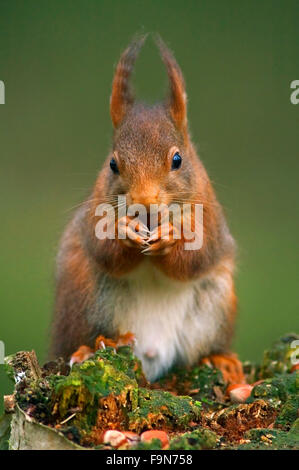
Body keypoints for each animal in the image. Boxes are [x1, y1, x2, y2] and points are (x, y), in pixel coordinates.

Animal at [50, 35, 245, 384]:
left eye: (178, 159)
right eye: (113, 164)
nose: (145, 205)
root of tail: (151, 355)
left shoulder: (210, 219)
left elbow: (198, 256)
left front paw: (172, 238)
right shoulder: (94, 216)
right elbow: (104, 250)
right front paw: (123, 232)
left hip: (214, 306)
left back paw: (220, 359)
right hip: (86, 299)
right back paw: (93, 347)